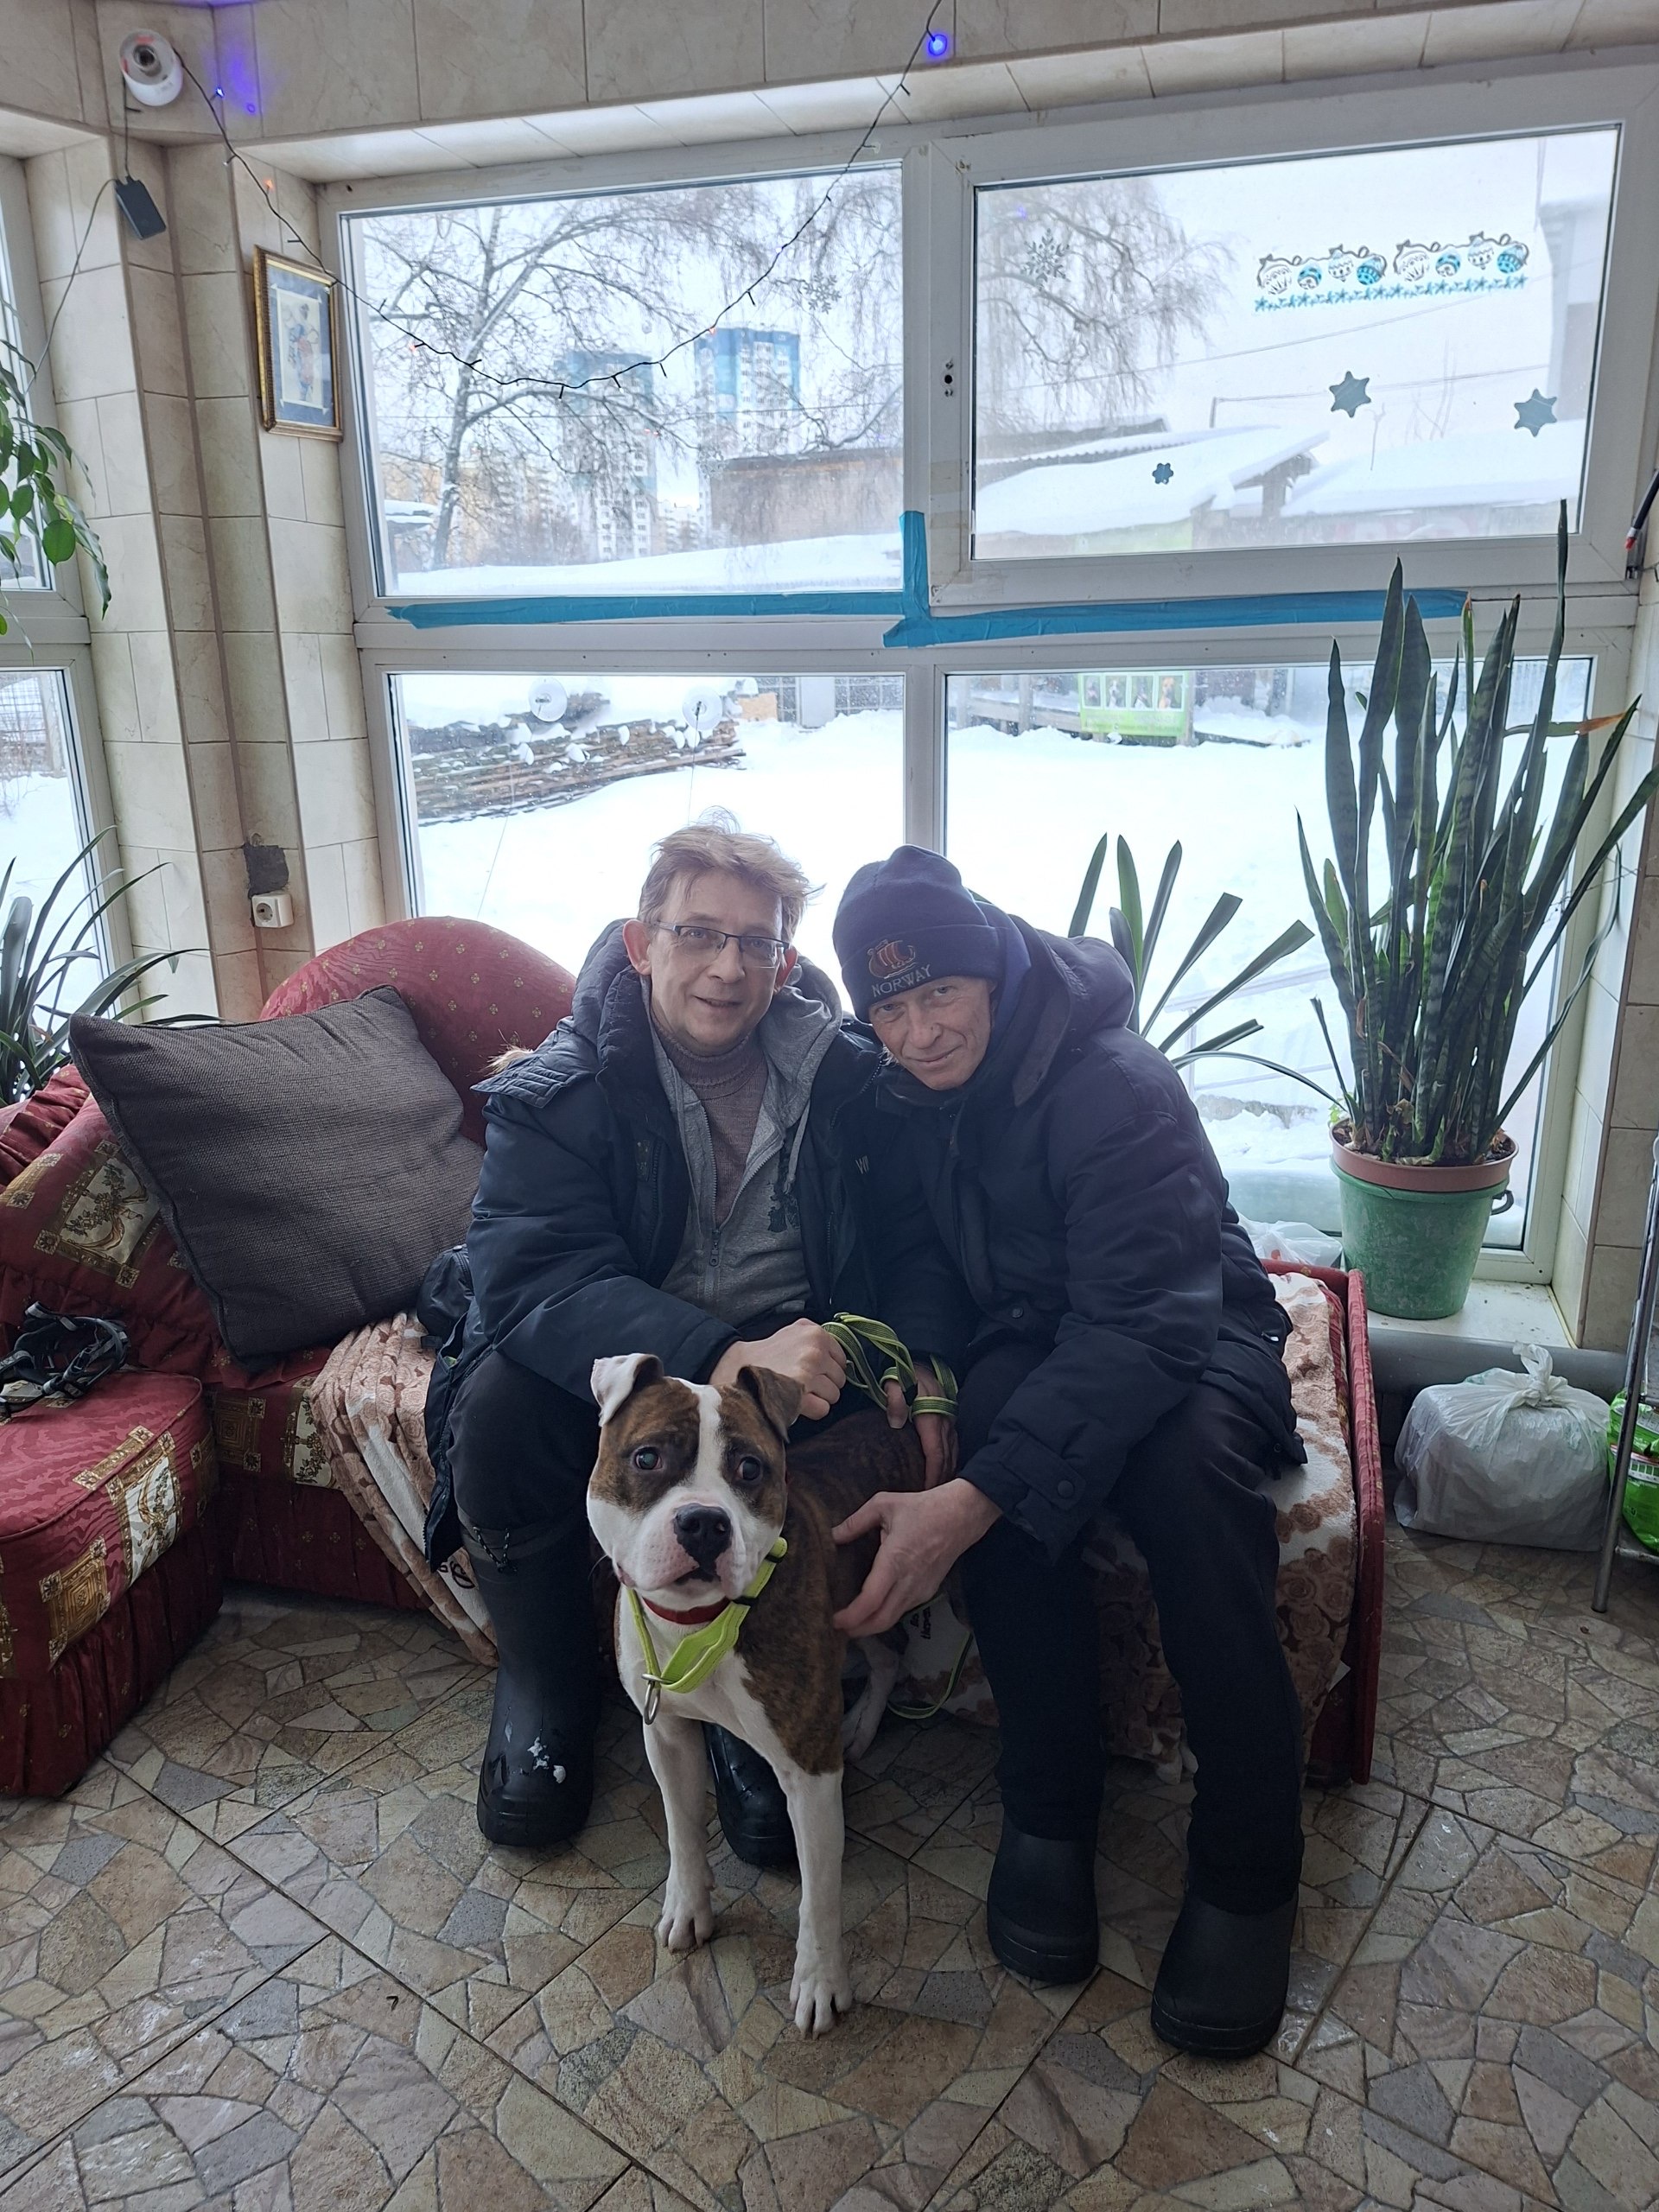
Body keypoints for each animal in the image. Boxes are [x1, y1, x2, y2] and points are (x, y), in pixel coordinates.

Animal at [586, 1352, 925, 2034]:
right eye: (646, 1458)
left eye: (749, 1468)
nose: (703, 1523)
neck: (698, 1626)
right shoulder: (667, 1735)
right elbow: (683, 1830)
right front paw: (689, 1907)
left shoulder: (811, 1776)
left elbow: (819, 1894)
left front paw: (820, 1983)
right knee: (886, 1651)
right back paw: (862, 1725)